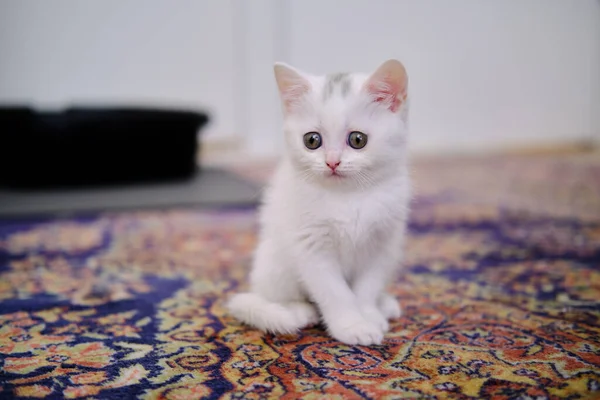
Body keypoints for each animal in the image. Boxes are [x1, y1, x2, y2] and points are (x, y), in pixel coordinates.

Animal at [227, 60, 410, 346]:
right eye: (312, 140)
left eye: (358, 140)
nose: (332, 162)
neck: (349, 196)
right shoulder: (311, 246)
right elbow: (335, 292)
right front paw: (352, 326)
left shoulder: (382, 244)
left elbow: (367, 288)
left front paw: (369, 315)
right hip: (274, 262)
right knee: (275, 297)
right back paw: (300, 310)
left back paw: (384, 305)